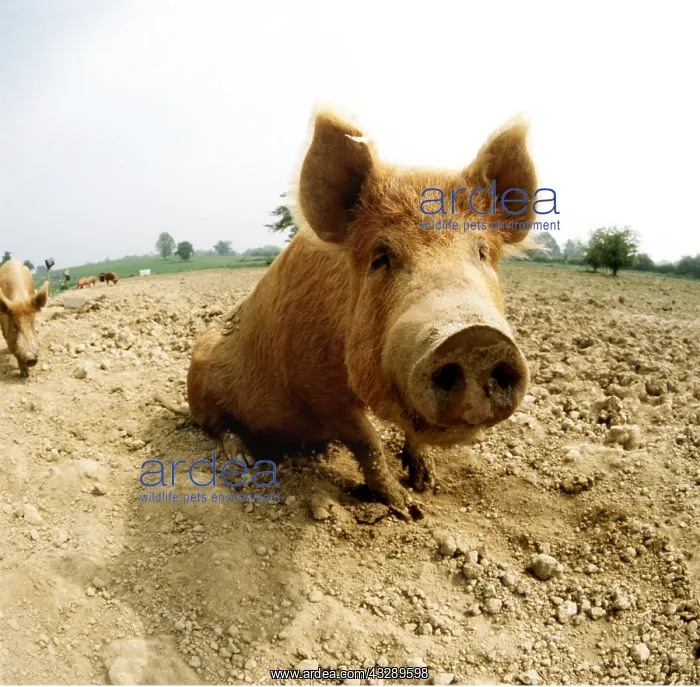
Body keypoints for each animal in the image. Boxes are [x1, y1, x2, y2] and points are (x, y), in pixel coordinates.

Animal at [163, 109, 535, 519]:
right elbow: (366, 439)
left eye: (482, 252)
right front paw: (407, 508)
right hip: (202, 386)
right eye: (381, 256)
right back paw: (246, 466)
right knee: (220, 427)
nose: (474, 338)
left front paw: (427, 484)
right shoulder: (315, 383)